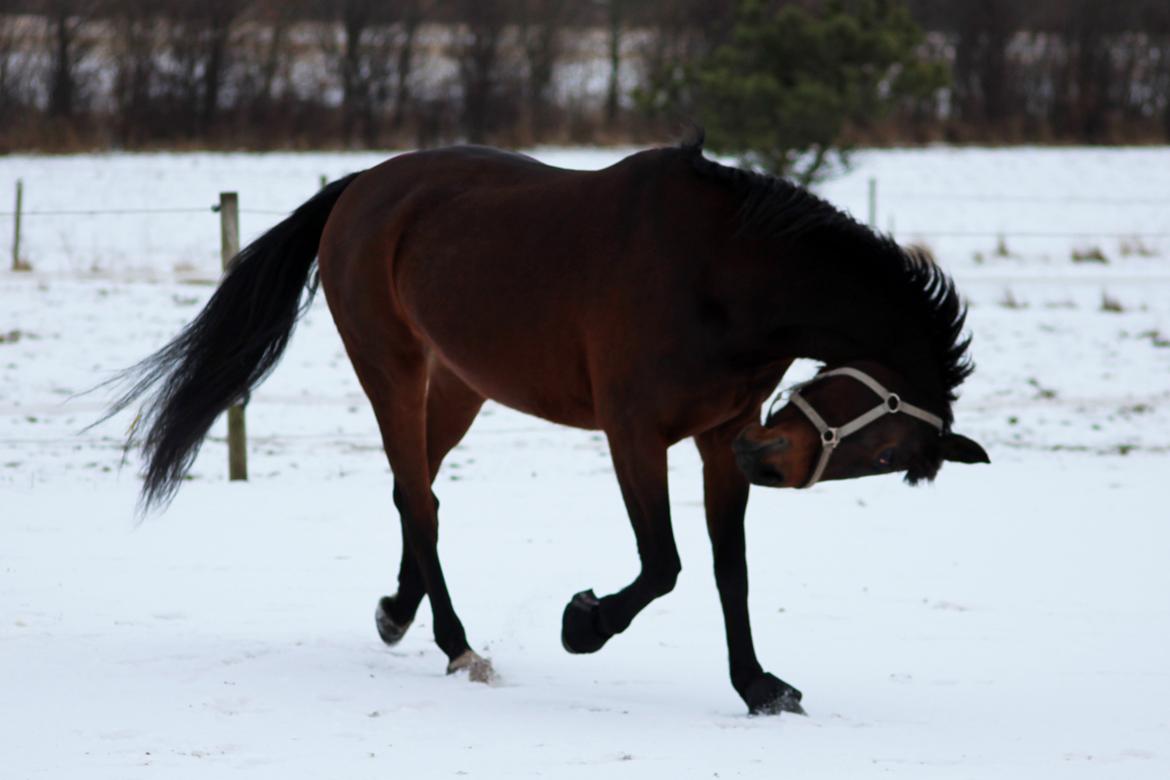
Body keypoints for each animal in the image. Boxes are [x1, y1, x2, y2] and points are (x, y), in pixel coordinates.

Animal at [107, 134, 987, 715]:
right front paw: (583, 623)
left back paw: (397, 613)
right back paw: (458, 646)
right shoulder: (635, 432)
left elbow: (728, 570)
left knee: (415, 495)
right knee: (418, 500)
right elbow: (664, 565)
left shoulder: (718, 433)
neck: (724, 274)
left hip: (461, 385)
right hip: (392, 369)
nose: (768, 462)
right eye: (883, 446)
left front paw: (758, 687)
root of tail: (361, 187)